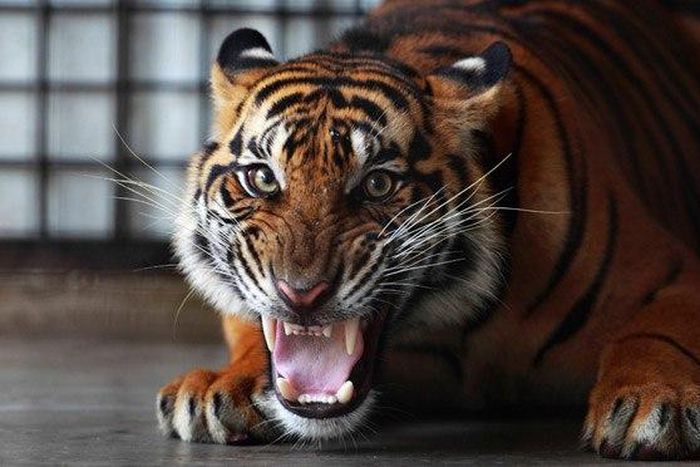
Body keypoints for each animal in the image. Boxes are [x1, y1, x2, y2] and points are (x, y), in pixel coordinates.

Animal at [155, 0, 700, 460]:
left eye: (377, 184)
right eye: (263, 177)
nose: (301, 294)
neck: (466, 327)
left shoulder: (673, 273)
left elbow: (653, 333)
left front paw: (655, 402)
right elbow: (255, 332)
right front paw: (220, 386)